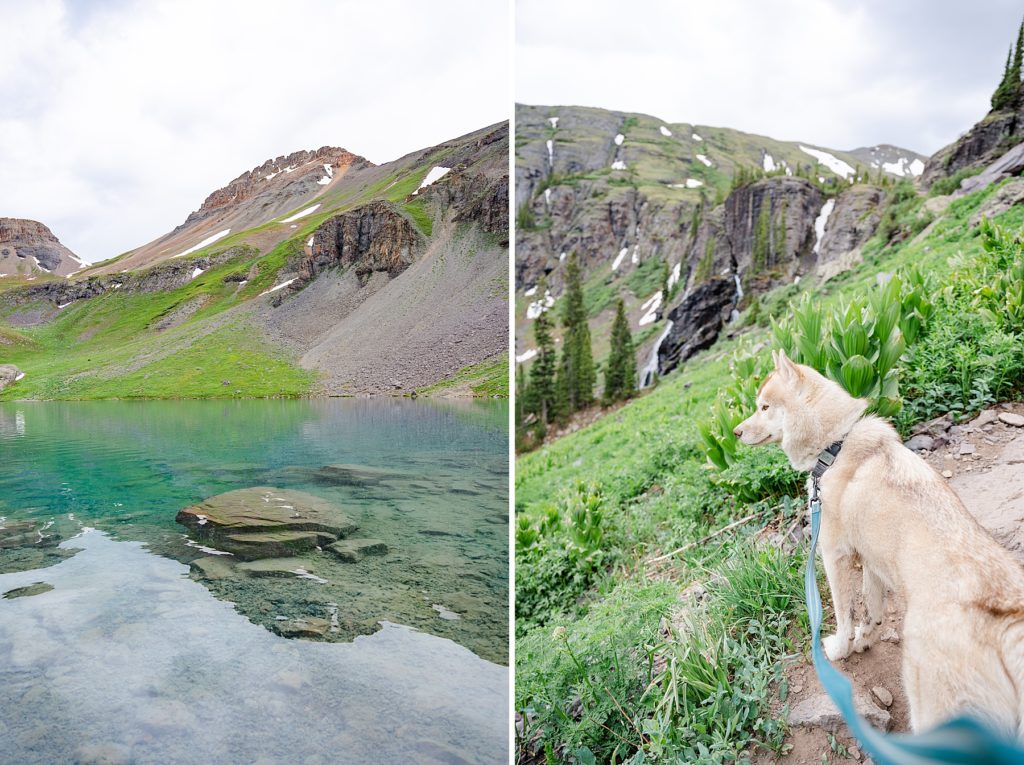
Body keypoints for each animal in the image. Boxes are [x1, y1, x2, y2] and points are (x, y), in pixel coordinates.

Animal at [733, 350, 1024, 737]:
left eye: (764, 407)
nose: (735, 432)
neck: (834, 446)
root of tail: (1002, 624)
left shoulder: (834, 556)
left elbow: (843, 614)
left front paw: (841, 649)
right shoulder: (872, 563)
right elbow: (872, 613)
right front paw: (864, 641)